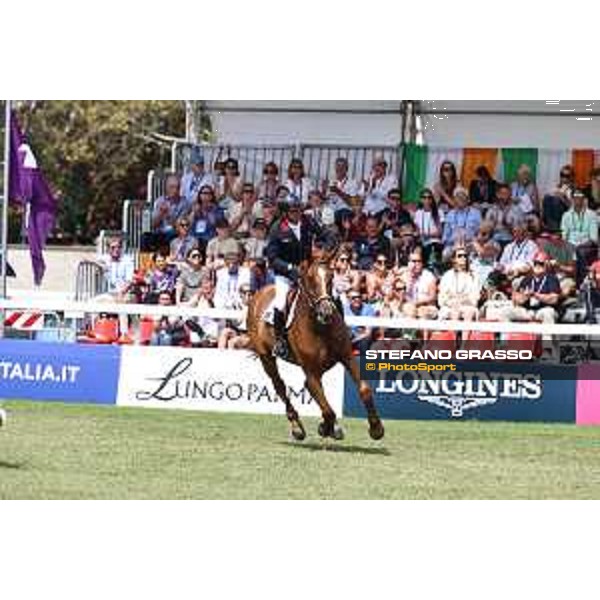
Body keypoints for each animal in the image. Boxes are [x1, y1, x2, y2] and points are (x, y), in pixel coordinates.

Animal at [245, 251, 382, 442]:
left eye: (331, 277)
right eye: (310, 279)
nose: (326, 312)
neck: (320, 327)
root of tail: (259, 294)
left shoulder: (347, 357)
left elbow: (364, 388)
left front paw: (376, 428)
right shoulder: (310, 372)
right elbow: (326, 407)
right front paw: (325, 428)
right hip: (267, 358)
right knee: (280, 386)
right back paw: (297, 428)